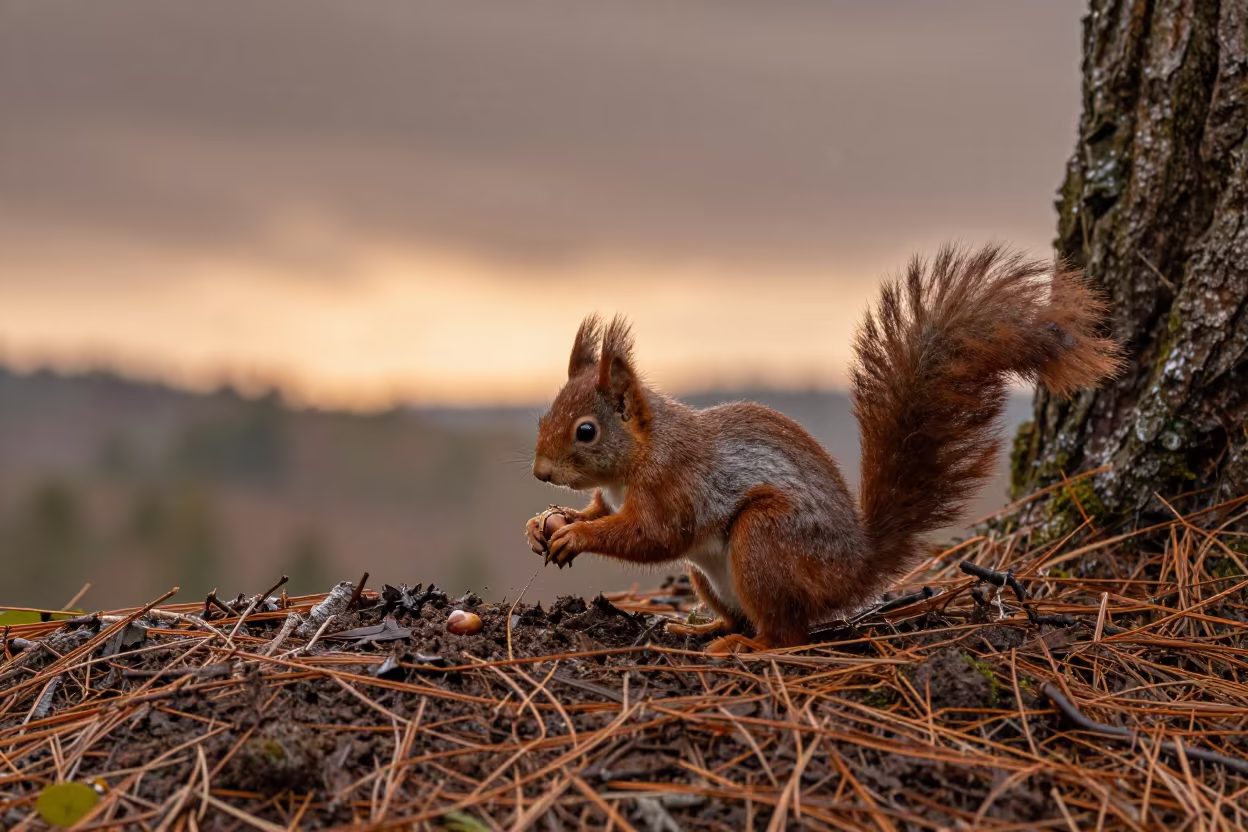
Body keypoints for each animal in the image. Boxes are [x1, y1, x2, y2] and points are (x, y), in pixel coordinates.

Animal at [525, 243, 1122, 653]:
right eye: (546, 412)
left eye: (586, 431)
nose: (540, 472)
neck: (639, 457)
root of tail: (851, 570)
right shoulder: (613, 493)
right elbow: (600, 509)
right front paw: (546, 522)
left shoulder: (676, 484)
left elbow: (653, 535)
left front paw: (577, 535)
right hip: (711, 574)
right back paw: (701, 625)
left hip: (764, 540)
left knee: (786, 634)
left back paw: (745, 646)